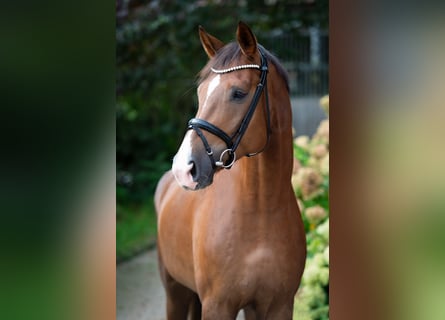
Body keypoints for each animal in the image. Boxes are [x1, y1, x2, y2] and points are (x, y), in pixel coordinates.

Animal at [153, 21, 306, 318]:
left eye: (238, 93)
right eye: (200, 93)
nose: (183, 168)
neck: (260, 211)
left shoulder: (279, 304)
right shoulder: (217, 306)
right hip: (175, 293)